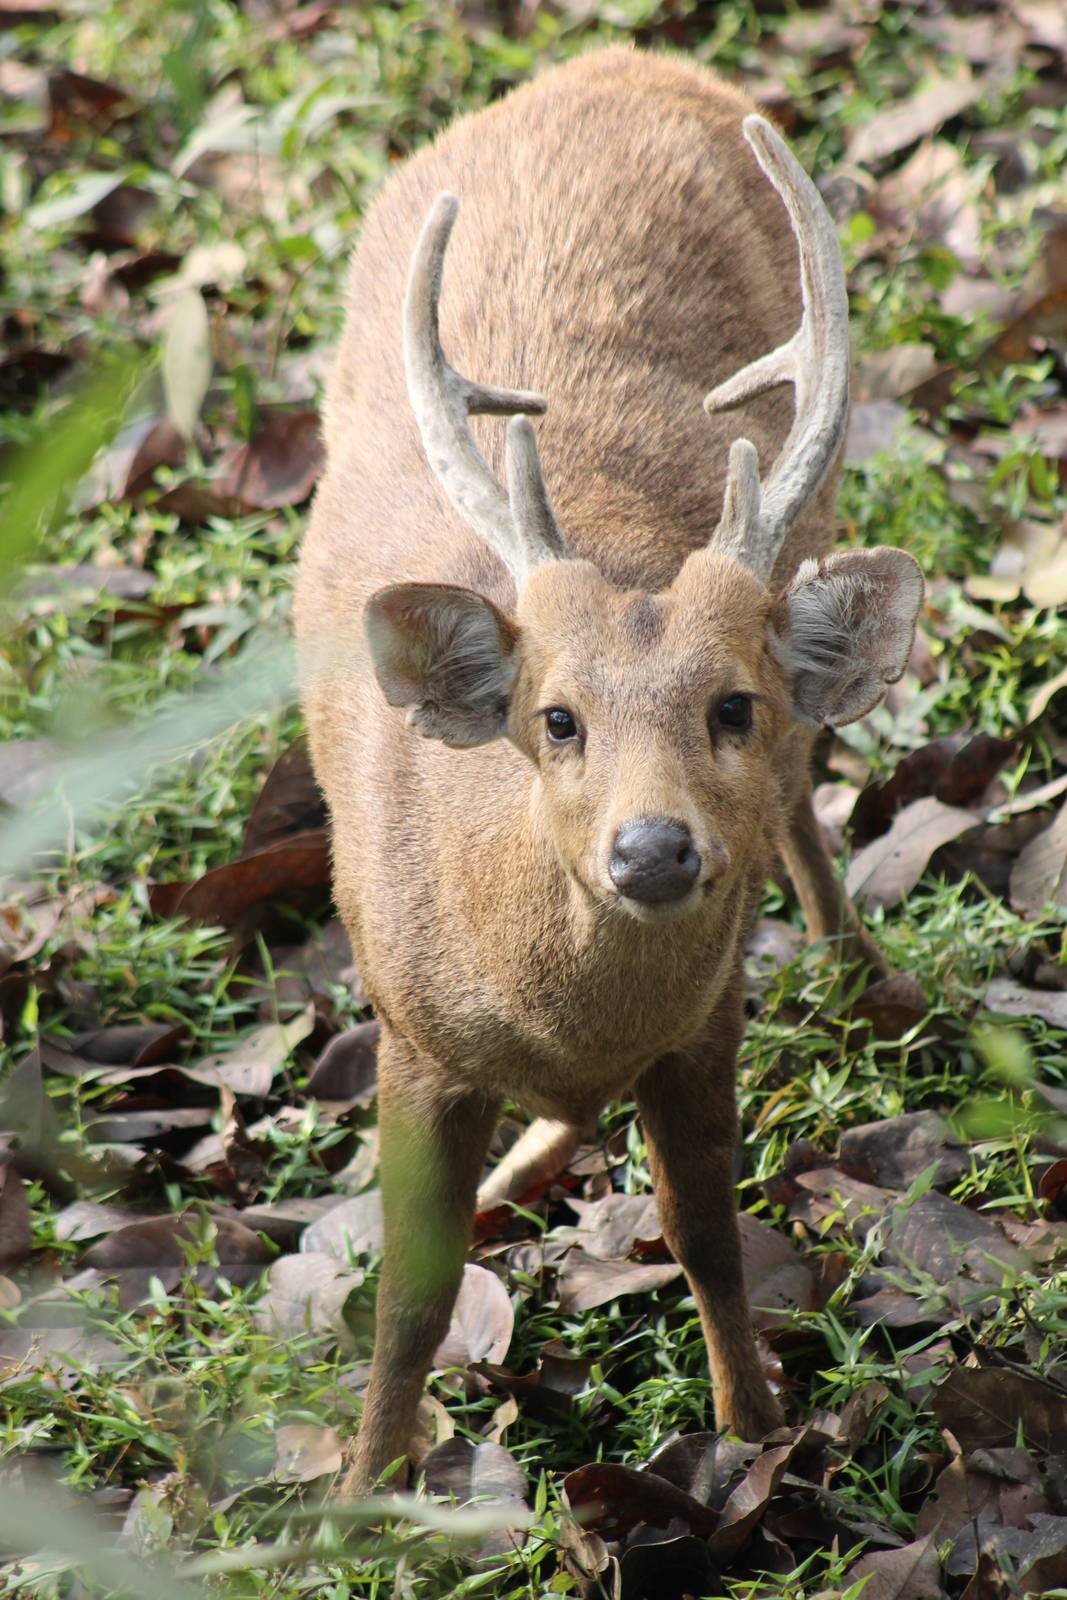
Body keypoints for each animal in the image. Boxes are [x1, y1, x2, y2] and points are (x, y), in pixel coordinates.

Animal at [294, 46, 922, 1495]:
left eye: (731, 703)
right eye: (556, 719)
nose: (651, 851)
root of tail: (617, 55)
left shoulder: (704, 1019)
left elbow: (704, 1230)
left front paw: (749, 1438)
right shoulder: (407, 1032)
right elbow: (412, 1292)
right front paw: (359, 1491)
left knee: (809, 796)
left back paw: (859, 968)